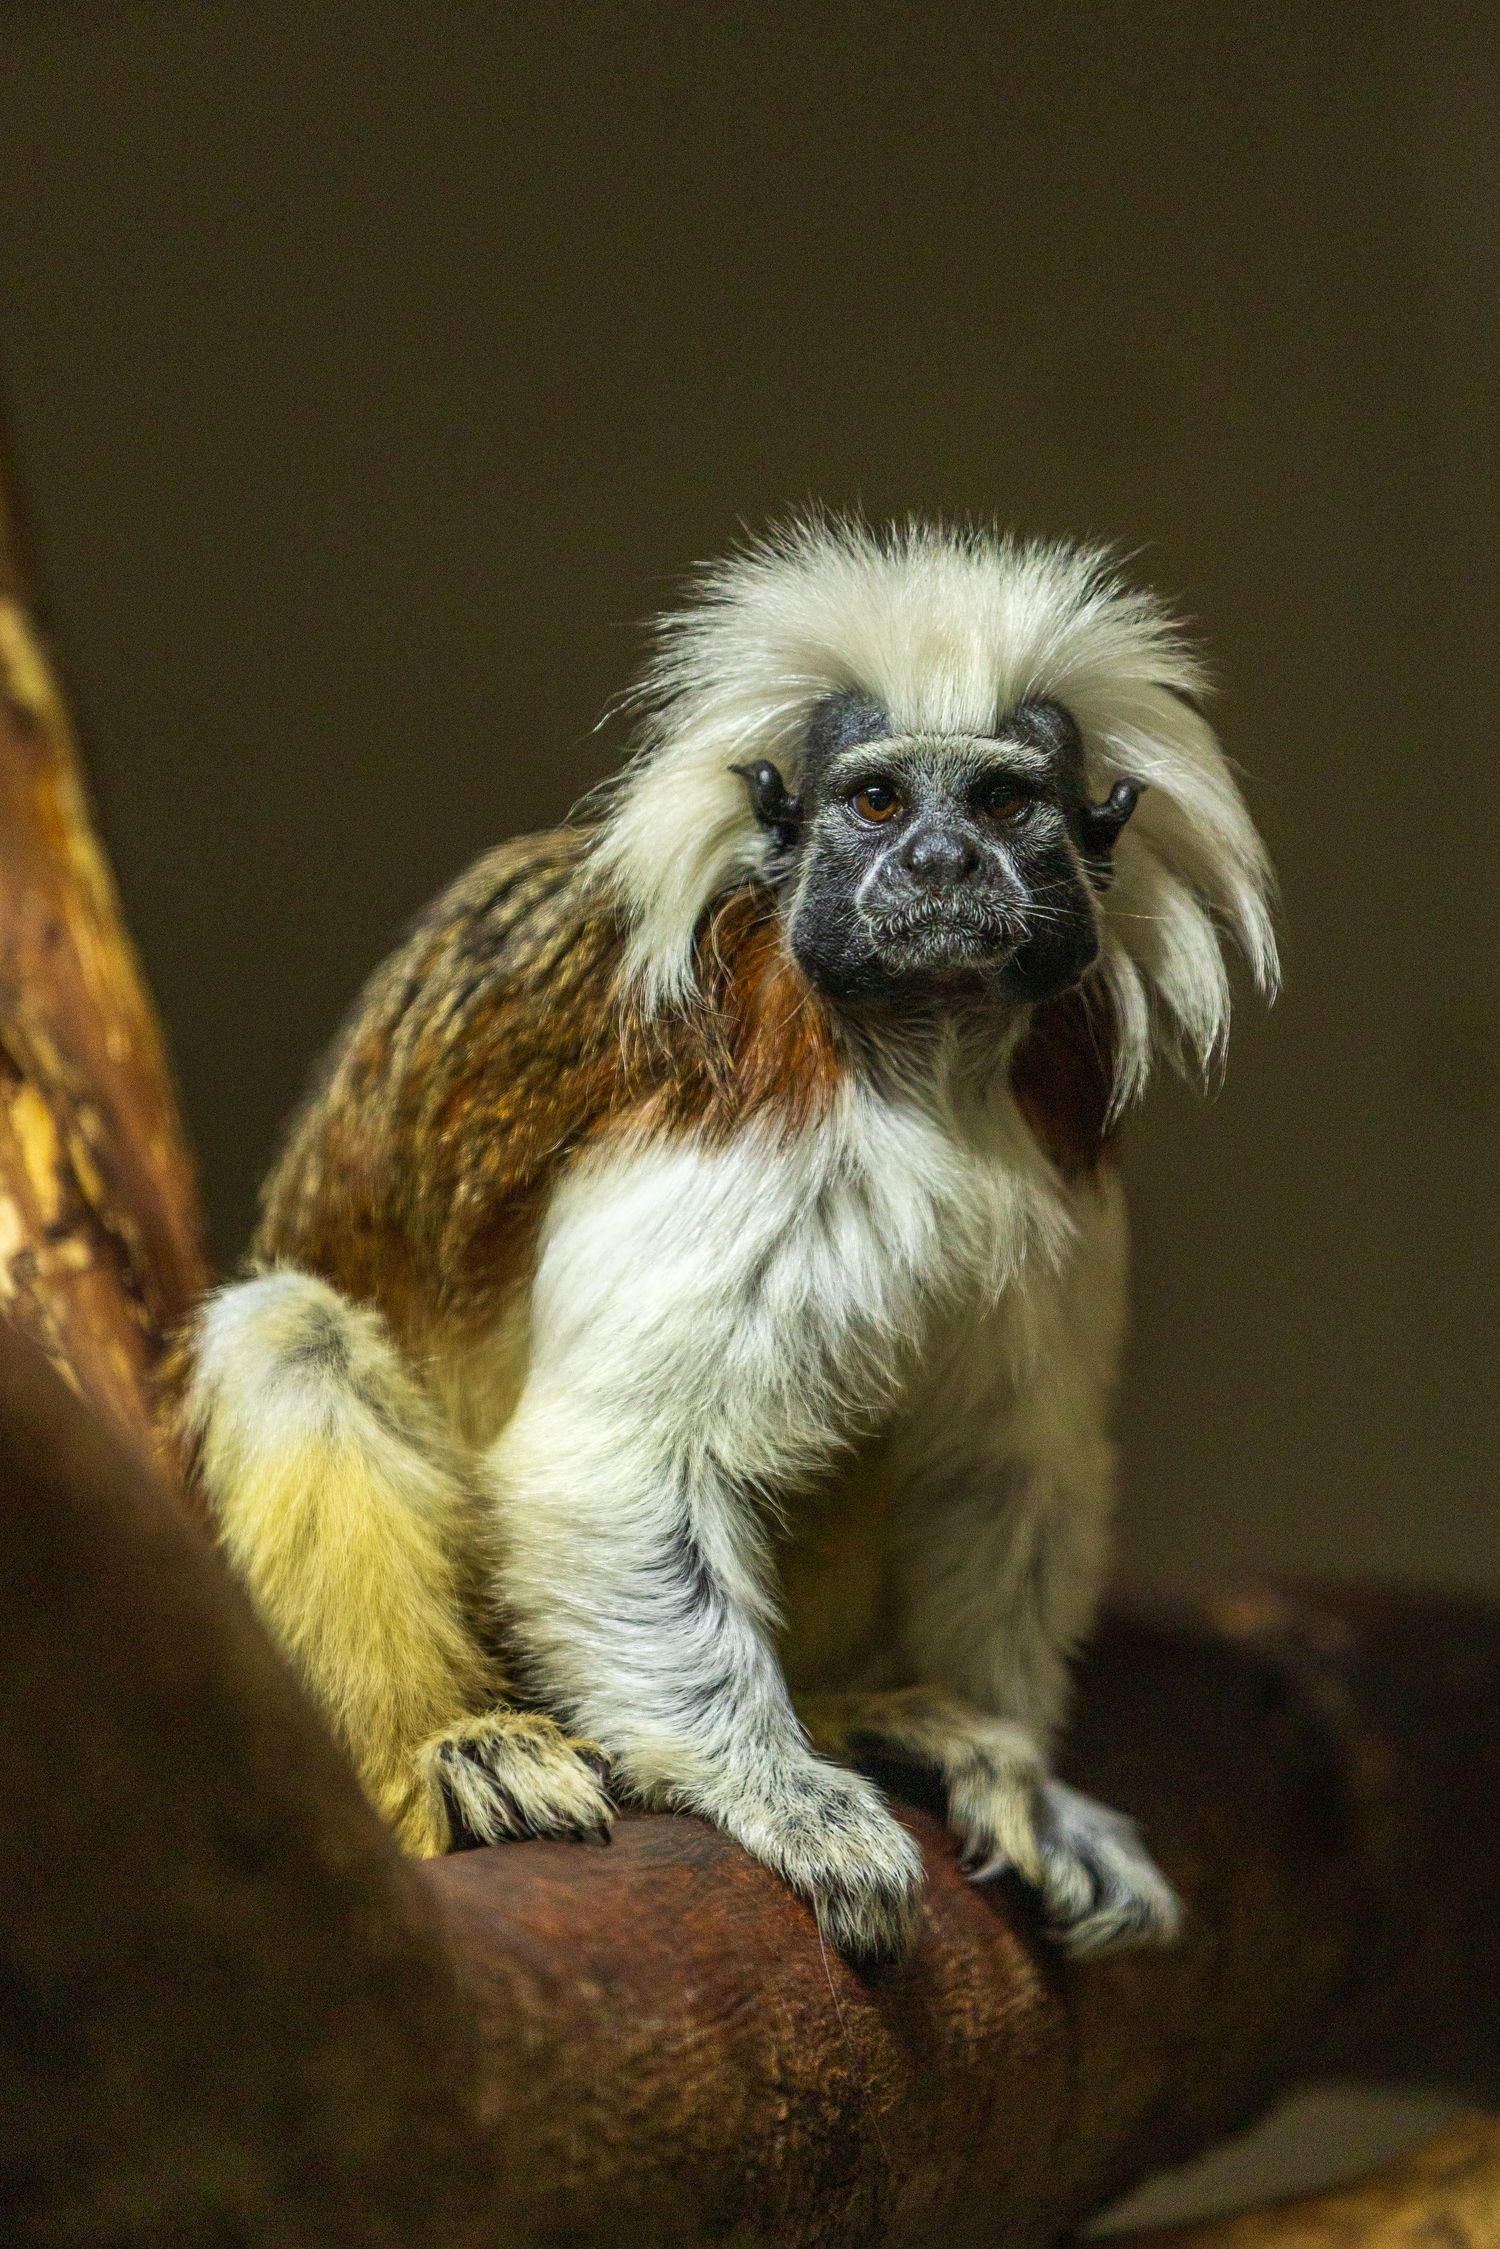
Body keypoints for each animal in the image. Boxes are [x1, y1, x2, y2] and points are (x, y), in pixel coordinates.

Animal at [166, 515, 1277, 1964]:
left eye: (999, 805)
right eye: (878, 803)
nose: (938, 868)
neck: (925, 1057)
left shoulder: (1059, 1137)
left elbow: (1000, 1462)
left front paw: (1022, 1778)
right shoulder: (741, 1116)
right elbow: (617, 1462)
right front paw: (772, 1785)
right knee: (287, 1333)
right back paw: (455, 1749)